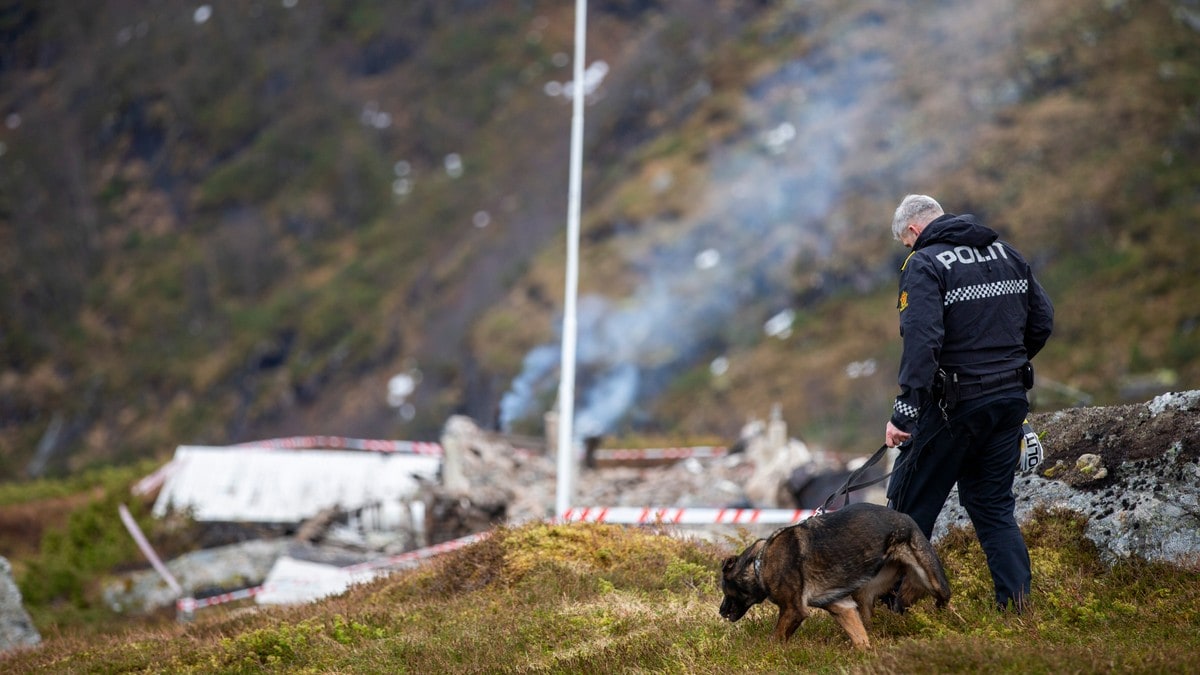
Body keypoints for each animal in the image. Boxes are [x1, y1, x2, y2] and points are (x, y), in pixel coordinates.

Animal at [715, 499, 950, 648]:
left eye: (725, 590)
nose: (720, 612)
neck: (759, 562)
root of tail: (905, 517)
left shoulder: (793, 610)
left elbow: (774, 640)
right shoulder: (842, 607)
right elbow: (860, 639)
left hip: (935, 582)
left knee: (945, 601)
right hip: (865, 593)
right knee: (871, 620)